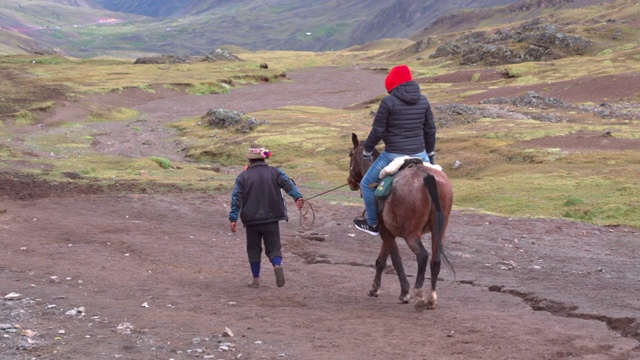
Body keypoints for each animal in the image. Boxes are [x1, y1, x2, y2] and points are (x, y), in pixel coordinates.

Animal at [348, 134, 452, 310]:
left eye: (350, 155)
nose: (350, 182)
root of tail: (427, 177)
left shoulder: (386, 231)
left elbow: (395, 260)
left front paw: (404, 293)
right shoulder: (387, 231)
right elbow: (381, 260)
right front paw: (374, 289)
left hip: (411, 234)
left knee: (422, 256)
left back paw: (419, 295)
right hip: (439, 231)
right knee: (435, 259)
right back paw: (431, 298)